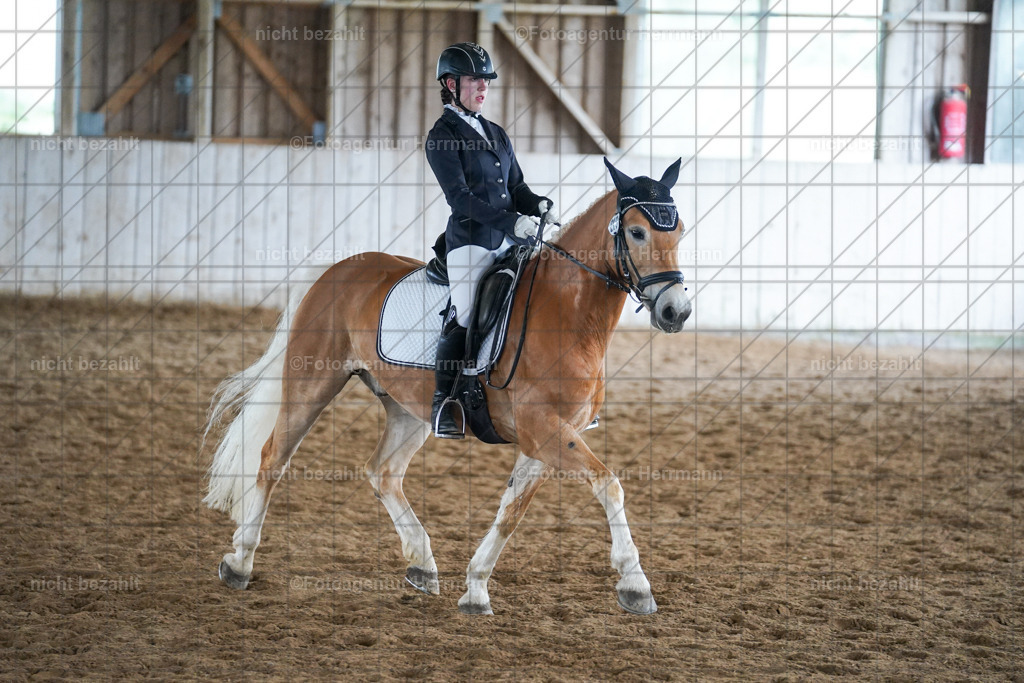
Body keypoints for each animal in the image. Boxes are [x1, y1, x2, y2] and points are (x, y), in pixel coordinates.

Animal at [203, 157, 692, 615]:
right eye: (636, 232)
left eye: (681, 232)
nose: (676, 312)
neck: (568, 315)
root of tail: (335, 269)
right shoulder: (543, 429)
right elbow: (609, 484)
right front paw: (636, 585)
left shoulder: (547, 438)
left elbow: (511, 513)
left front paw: (475, 589)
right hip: (313, 383)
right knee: (272, 458)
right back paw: (240, 562)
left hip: (409, 408)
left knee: (383, 472)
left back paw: (422, 563)